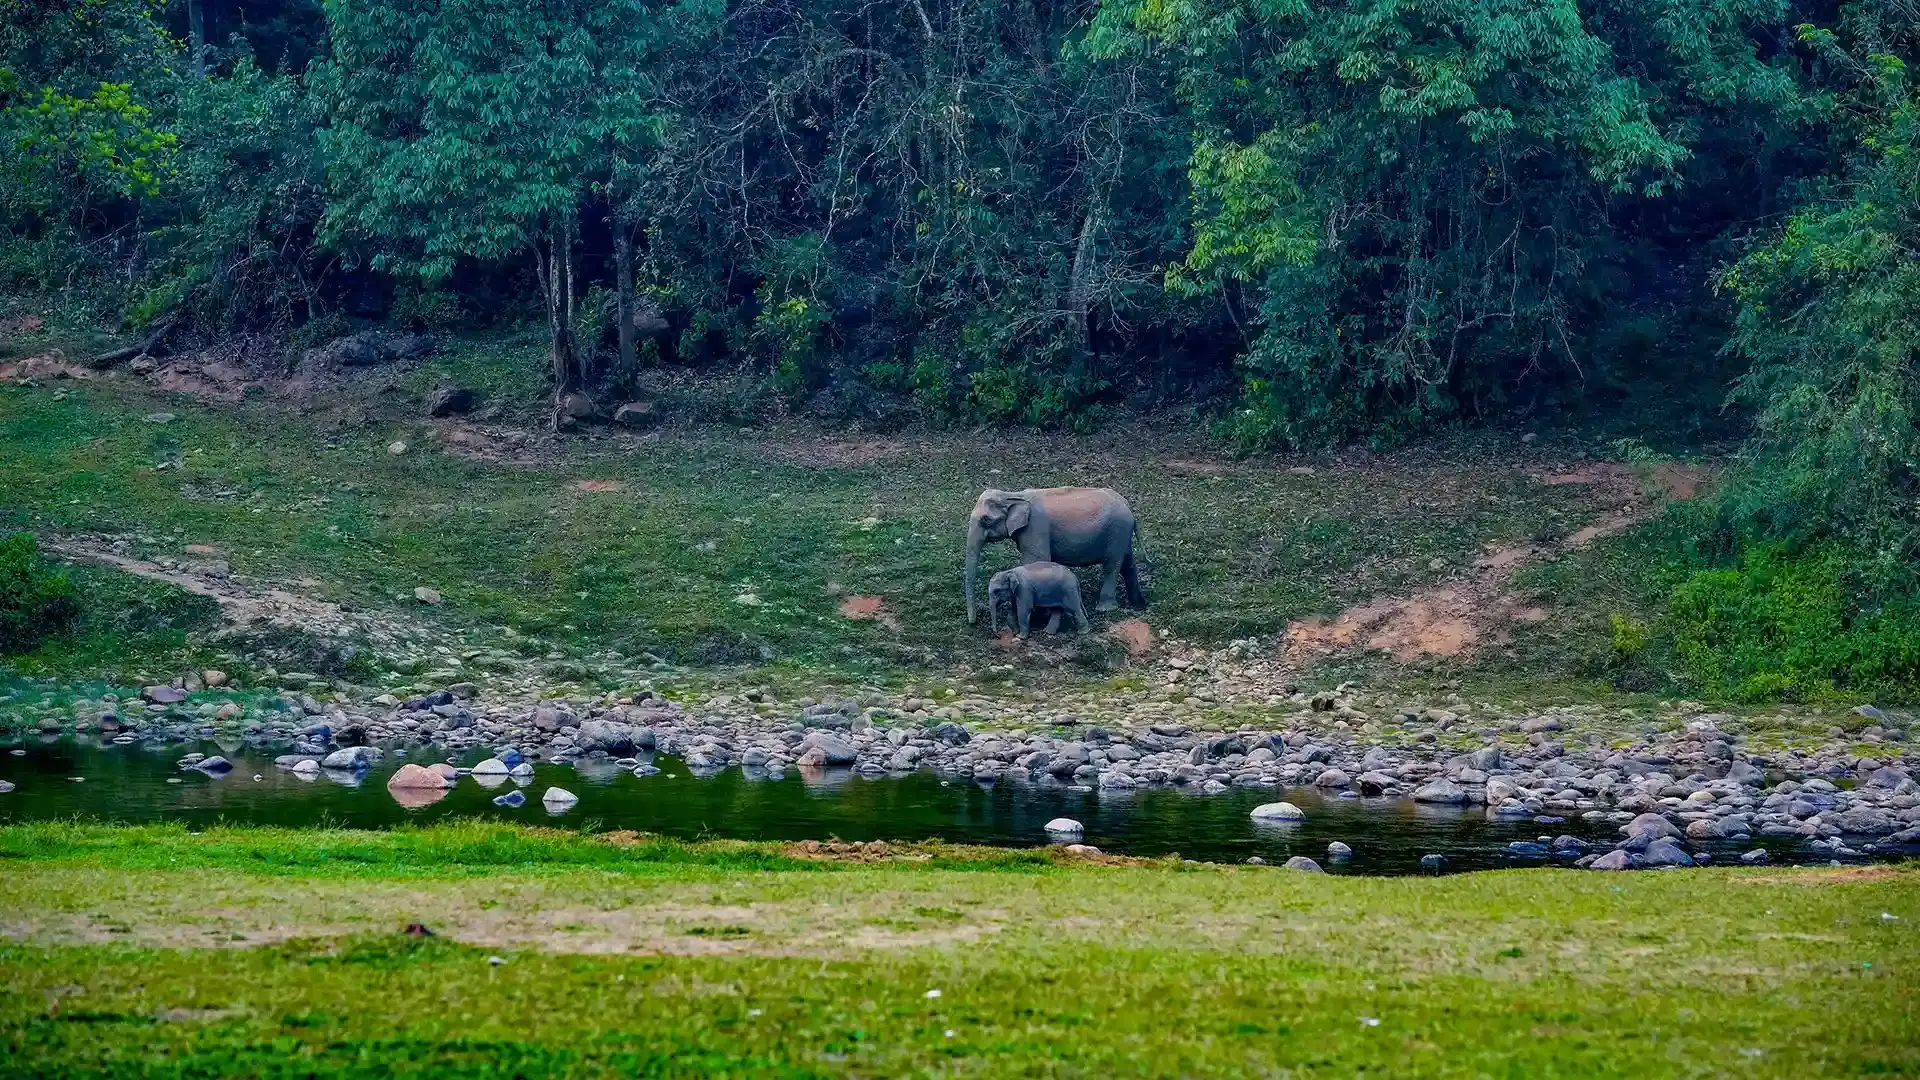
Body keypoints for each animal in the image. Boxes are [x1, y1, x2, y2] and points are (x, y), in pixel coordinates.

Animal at [964, 486, 1145, 625]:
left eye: (986, 520)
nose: (973, 622)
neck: (1013, 495)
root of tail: (1127, 504)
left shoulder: (1035, 529)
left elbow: (1036, 559)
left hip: (1117, 531)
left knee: (1112, 566)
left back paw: (1104, 609)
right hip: (1122, 534)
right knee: (1127, 564)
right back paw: (1138, 603)